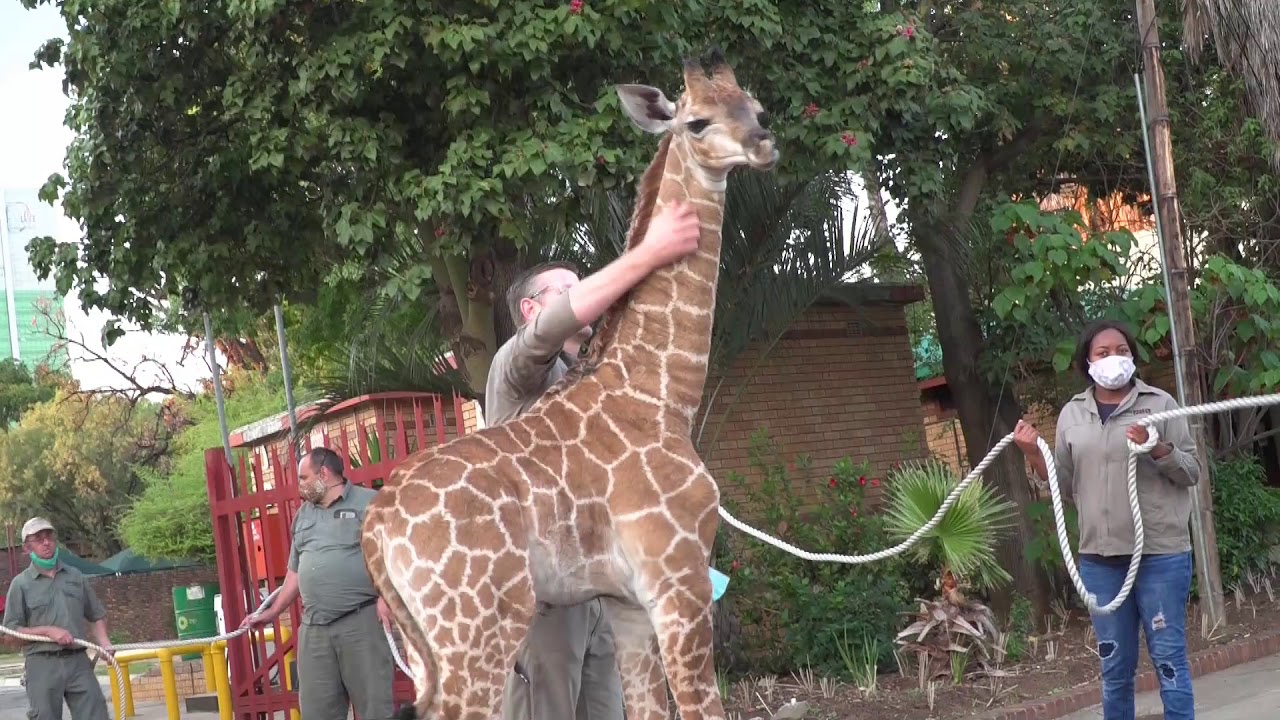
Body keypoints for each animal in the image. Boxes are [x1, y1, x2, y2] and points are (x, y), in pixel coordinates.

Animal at [362, 48, 777, 720]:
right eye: (696, 122)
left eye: (757, 109)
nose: (763, 144)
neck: (663, 394)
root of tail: (375, 528)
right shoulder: (680, 581)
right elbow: (702, 708)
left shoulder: (629, 603)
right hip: (479, 629)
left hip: (433, 642)